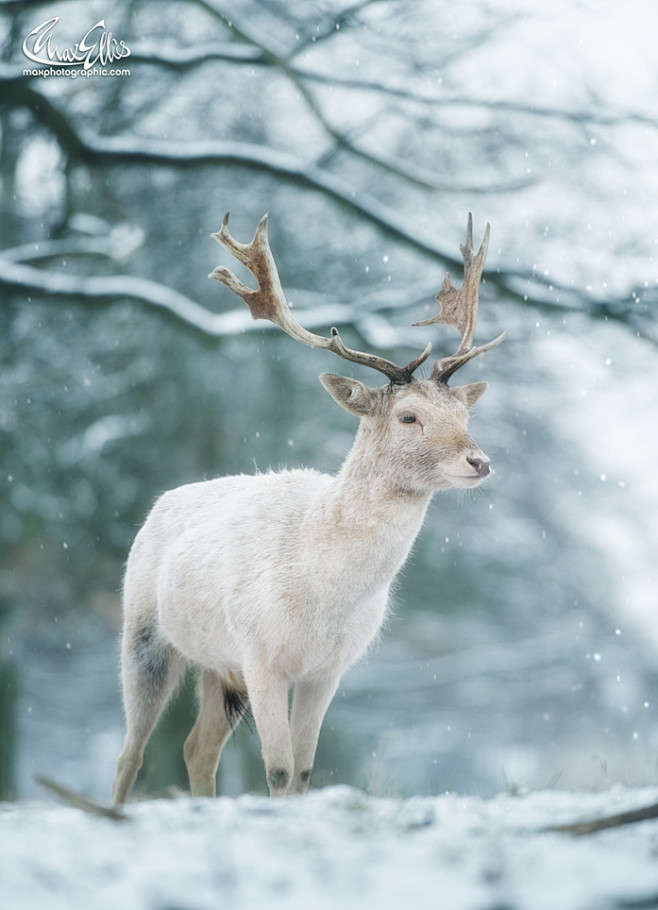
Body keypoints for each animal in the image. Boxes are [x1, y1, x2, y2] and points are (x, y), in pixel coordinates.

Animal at [111, 212, 502, 804]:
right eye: (408, 416)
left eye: (464, 412)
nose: (479, 461)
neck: (322, 597)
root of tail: (160, 504)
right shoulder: (260, 655)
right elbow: (277, 768)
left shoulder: (327, 670)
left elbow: (303, 770)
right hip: (142, 631)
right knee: (130, 753)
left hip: (218, 665)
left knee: (196, 748)